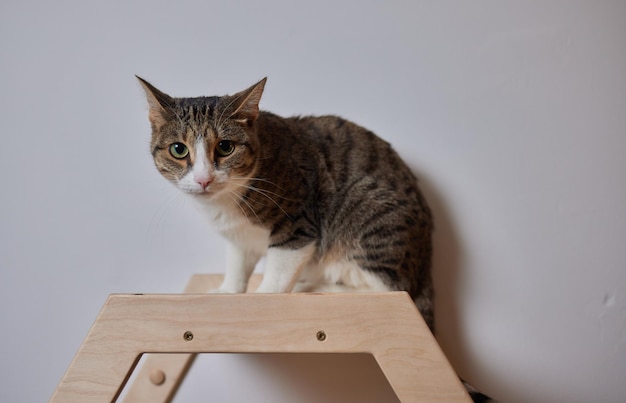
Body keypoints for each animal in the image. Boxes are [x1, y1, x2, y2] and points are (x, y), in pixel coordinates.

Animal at [135, 76, 434, 332]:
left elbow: (279, 271)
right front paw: (229, 291)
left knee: (391, 288)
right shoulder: (239, 236)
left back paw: (317, 286)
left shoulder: (297, 222)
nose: (203, 179)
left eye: (225, 147)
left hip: (369, 213)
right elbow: (237, 262)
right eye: (178, 149)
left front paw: (265, 299)